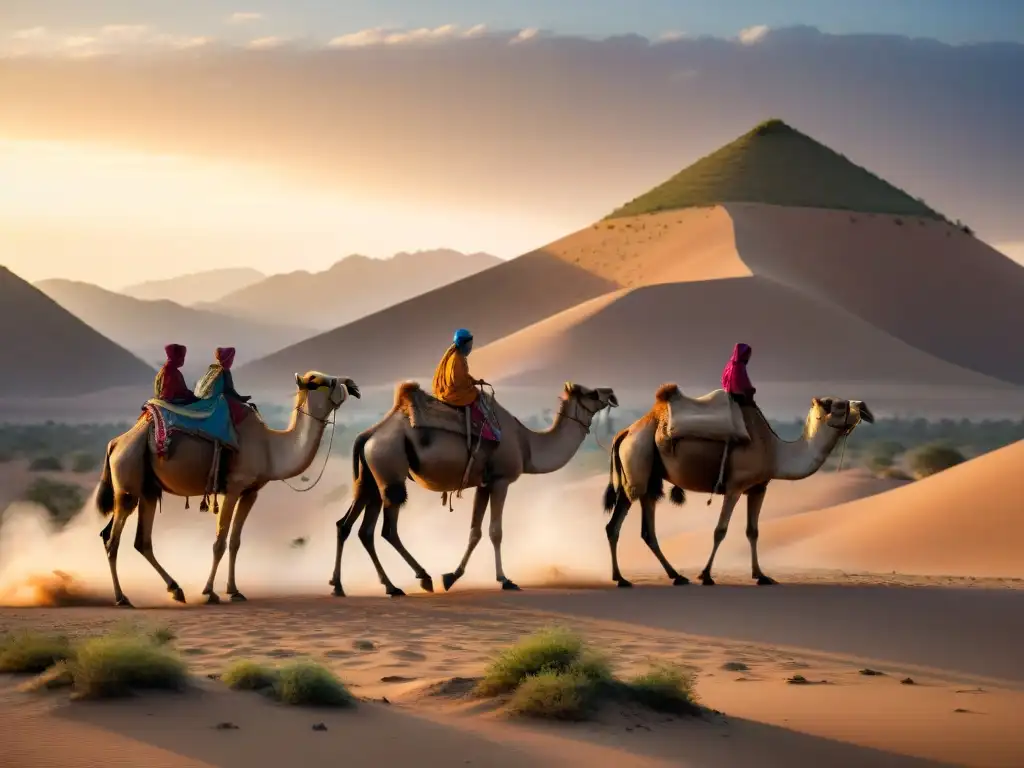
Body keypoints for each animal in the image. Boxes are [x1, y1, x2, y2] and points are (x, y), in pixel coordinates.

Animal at [95, 372, 360, 606]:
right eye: (317, 382)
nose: (352, 386)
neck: (270, 447)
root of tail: (115, 443)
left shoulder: (251, 492)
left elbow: (235, 541)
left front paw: (234, 591)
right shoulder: (233, 488)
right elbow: (219, 542)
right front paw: (209, 592)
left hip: (148, 489)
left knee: (140, 541)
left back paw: (176, 589)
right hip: (127, 483)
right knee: (112, 540)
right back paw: (122, 598)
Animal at [329, 382, 614, 598]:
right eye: (591, 393)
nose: (611, 393)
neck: (526, 444)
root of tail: (368, 435)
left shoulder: (483, 484)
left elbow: (475, 532)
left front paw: (452, 577)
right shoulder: (500, 480)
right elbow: (496, 531)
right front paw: (505, 580)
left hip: (369, 479)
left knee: (353, 527)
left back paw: (348, 586)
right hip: (390, 470)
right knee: (387, 530)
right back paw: (420, 578)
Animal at [602, 391, 876, 589]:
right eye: (834, 405)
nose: (865, 408)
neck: (775, 452)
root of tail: (625, 432)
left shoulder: (758, 489)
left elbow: (753, 531)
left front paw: (761, 575)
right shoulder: (734, 487)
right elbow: (720, 531)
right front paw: (706, 575)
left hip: (647, 477)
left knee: (640, 529)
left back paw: (667, 576)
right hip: (638, 463)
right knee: (620, 523)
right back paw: (627, 579)